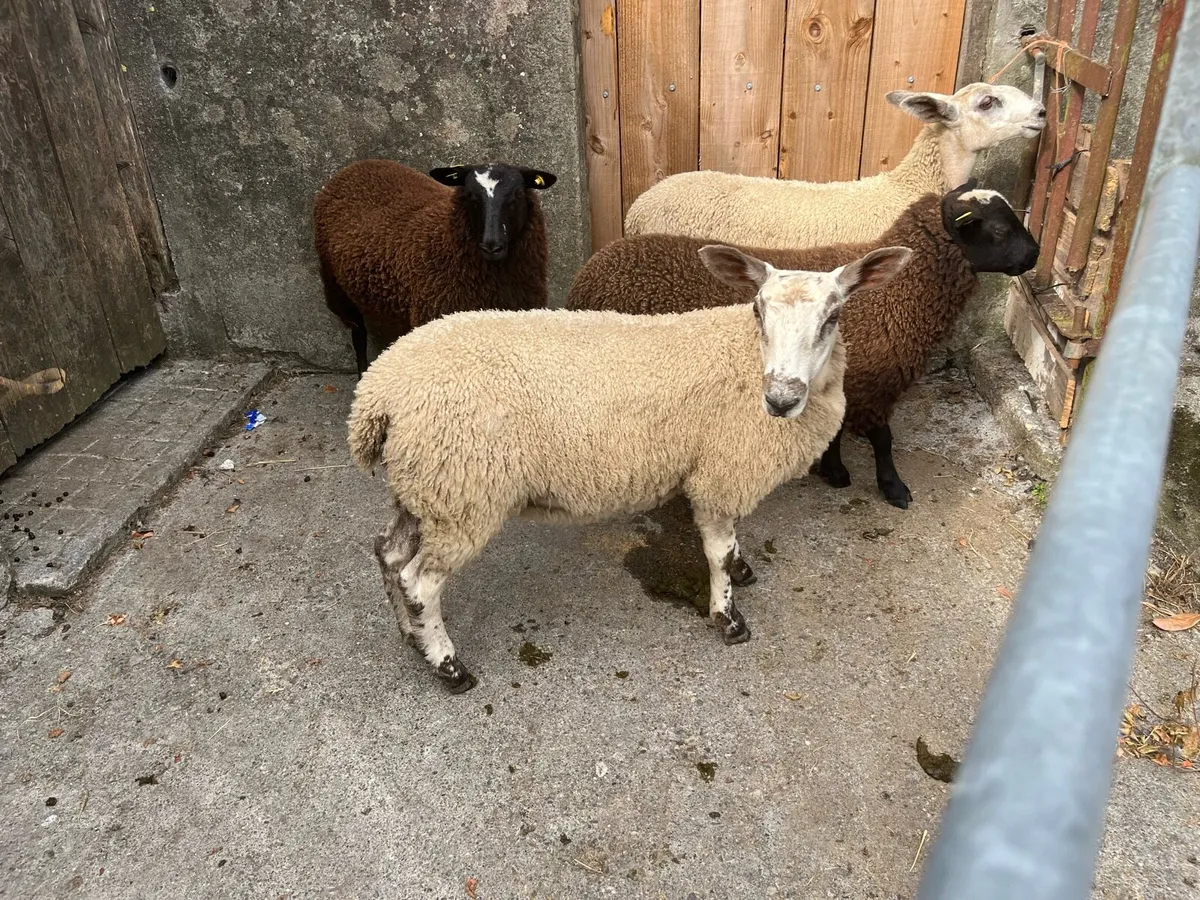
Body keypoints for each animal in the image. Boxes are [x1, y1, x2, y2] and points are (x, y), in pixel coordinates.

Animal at [314, 160, 557, 376]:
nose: (491, 245)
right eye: (471, 196)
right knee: (359, 336)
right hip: (337, 289)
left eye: (517, 195)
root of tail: (356, 166)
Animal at [347, 245, 911, 692]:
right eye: (757, 310)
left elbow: (731, 547)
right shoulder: (719, 471)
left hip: (424, 488)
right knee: (420, 582)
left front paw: (743, 571)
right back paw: (448, 666)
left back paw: (410, 636)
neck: (745, 360)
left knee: (389, 555)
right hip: (463, 491)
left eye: (833, 318)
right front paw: (728, 618)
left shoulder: (722, 470)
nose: (780, 399)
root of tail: (378, 393)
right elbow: (717, 553)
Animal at [568, 181, 1039, 509]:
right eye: (1000, 229)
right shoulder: (874, 384)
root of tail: (588, 274)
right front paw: (894, 488)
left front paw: (834, 469)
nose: (1034, 256)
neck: (900, 291)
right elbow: (883, 439)